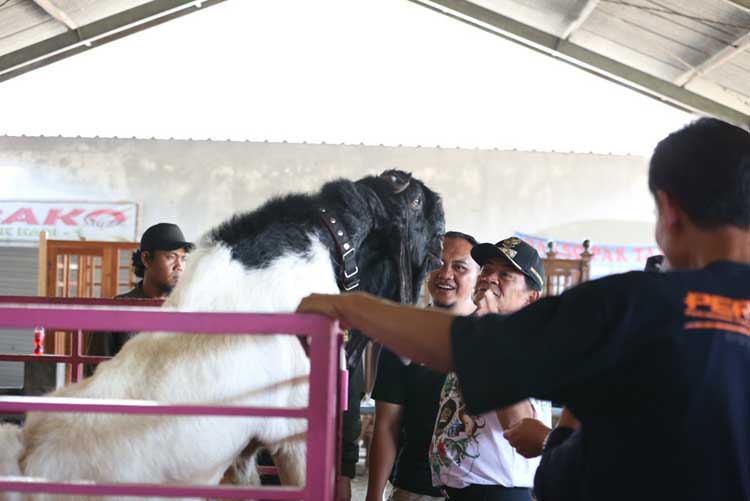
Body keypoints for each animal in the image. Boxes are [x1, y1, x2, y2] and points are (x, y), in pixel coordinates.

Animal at [0, 171, 446, 496]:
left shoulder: (241, 453)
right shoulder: (294, 433)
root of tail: (25, 458)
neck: (335, 247)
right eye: (415, 200)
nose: (439, 203)